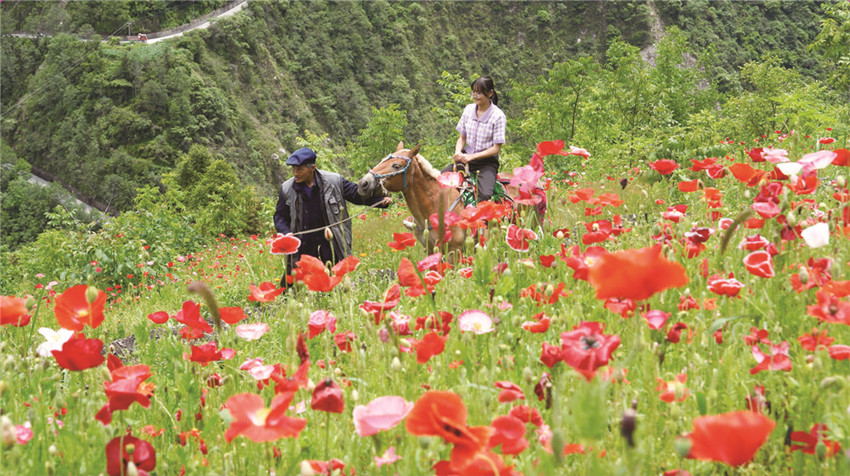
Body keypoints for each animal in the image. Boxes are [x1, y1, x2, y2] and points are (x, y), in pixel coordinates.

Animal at [356, 140, 544, 255]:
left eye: (396, 165)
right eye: (382, 160)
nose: (363, 183)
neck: (435, 206)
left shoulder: (455, 251)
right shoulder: (430, 249)